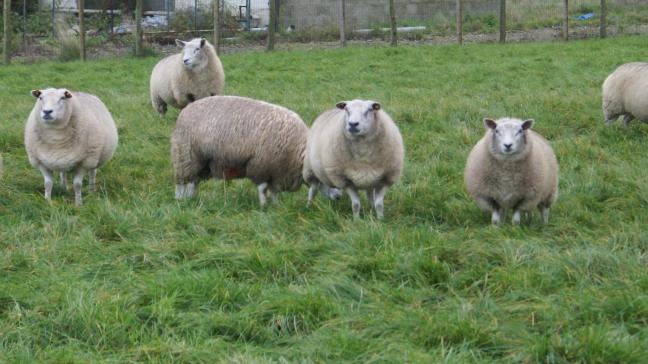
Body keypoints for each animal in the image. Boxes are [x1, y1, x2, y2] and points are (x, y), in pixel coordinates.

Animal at [170, 96, 342, 205]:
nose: (339, 197)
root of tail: (185, 110)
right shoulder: (261, 165)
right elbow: (262, 188)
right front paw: (263, 205)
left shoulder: (277, 172)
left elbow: (273, 191)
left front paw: (276, 206)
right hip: (185, 155)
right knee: (182, 181)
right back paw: (180, 200)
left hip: (201, 162)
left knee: (194, 181)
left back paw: (192, 199)